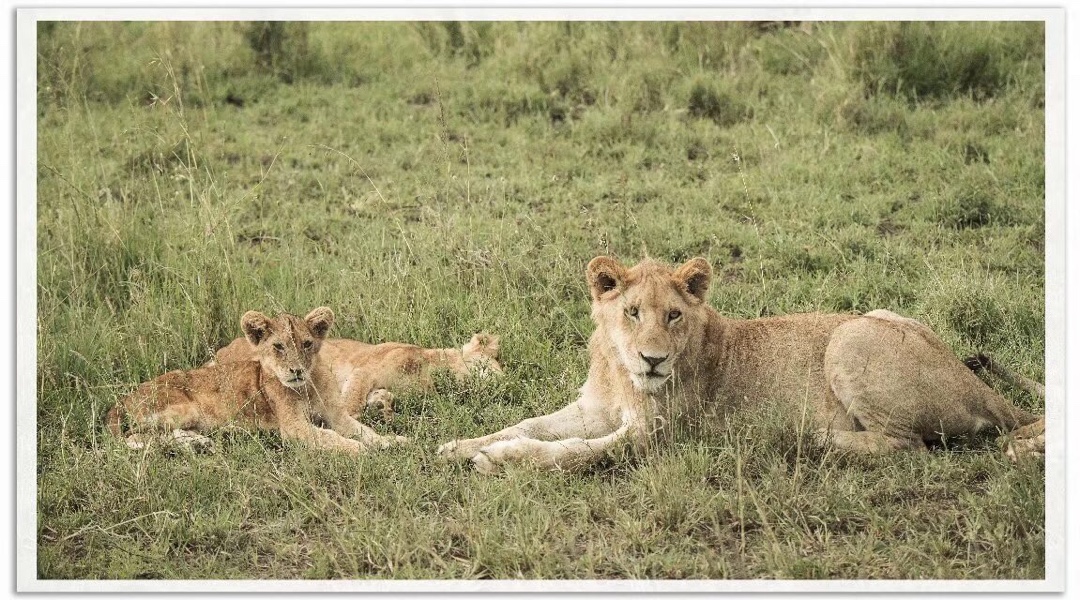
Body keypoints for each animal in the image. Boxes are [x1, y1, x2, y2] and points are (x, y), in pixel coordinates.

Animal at [107, 306, 406, 453]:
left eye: (307, 344)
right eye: (278, 347)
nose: (296, 370)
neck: (307, 386)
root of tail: (121, 400)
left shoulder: (337, 415)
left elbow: (363, 430)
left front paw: (390, 441)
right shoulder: (293, 427)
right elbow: (328, 437)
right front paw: (357, 449)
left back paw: (204, 441)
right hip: (181, 407)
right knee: (134, 437)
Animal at [212, 330, 503, 418]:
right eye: (491, 369)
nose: (503, 387)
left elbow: (381, 396)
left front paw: (382, 405)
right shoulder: (365, 370)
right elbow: (351, 404)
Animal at [436, 255, 1045, 474]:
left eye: (674, 315)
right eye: (631, 312)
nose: (653, 360)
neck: (622, 374)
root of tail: (976, 386)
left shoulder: (651, 437)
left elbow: (570, 451)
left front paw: (500, 460)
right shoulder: (595, 409)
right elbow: (530, 423)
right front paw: (462, 445)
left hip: (849, 337)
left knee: (908, 446)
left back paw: (807, 439)